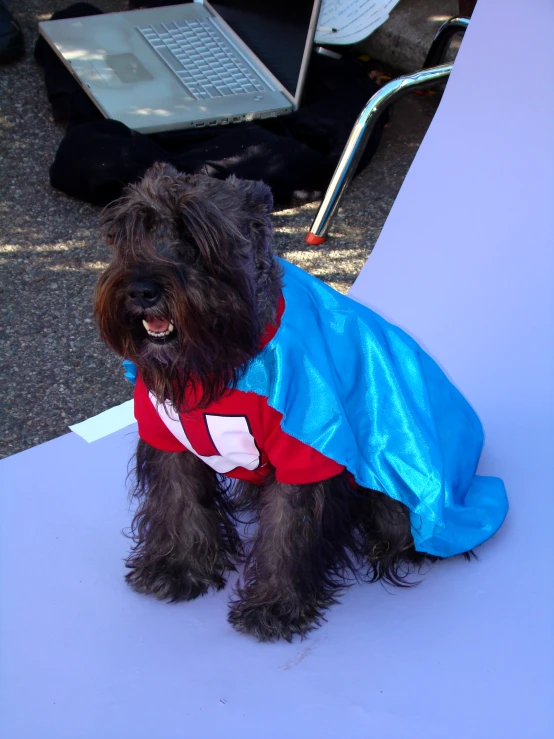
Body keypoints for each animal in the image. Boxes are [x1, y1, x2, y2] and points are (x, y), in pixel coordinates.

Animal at [95, 162, 440, 640]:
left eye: (197, 238)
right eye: (129, 234)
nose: (142, 289)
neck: (222, 364)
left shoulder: (304, 448)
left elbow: (287, 531)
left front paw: (276, 603)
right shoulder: (167, 434)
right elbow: (179, 500)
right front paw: (180, 567)